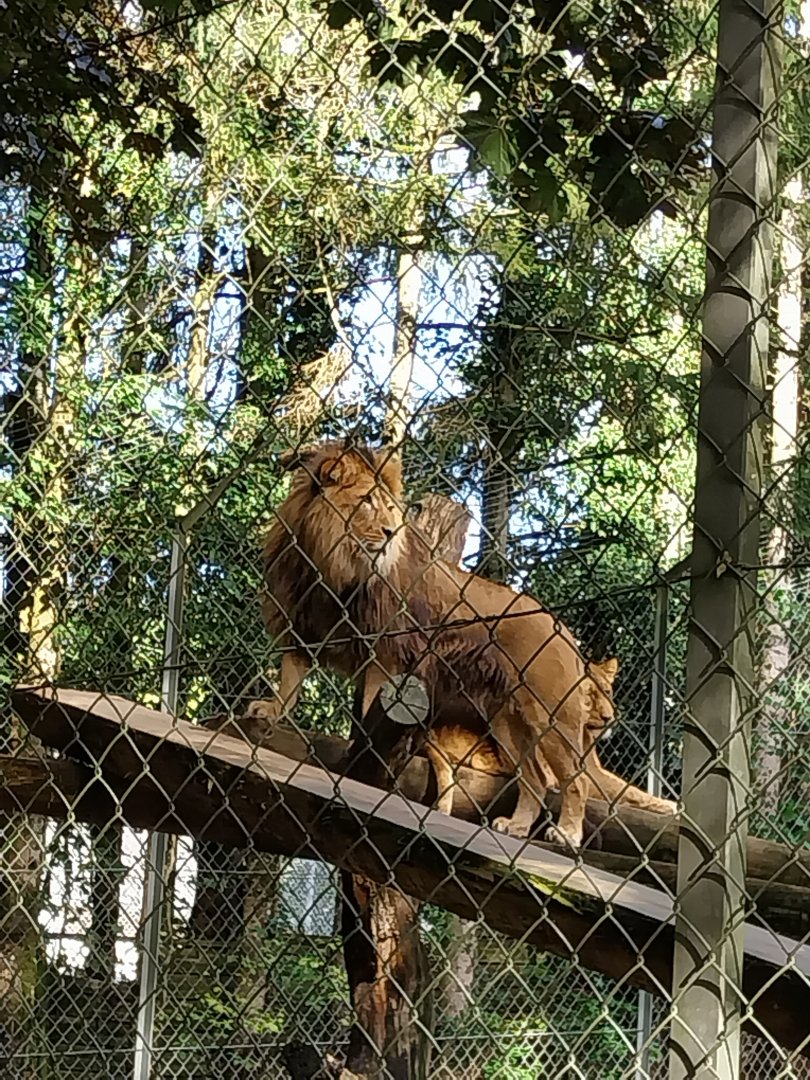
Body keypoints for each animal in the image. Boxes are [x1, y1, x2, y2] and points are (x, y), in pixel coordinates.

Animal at [249, 440, 595, 849]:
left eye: (388, 507)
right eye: (367, 501)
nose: (389, 531)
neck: (327, 561)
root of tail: (560, 626)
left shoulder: (387, 653)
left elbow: (369, 704)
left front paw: (363, 748)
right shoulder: (303, 624)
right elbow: (290, 680)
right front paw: (271, 711)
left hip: (551, 715)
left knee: (576, 779)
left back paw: (568, 833)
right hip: (506, 721)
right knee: (535, 779)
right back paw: (517, 827)